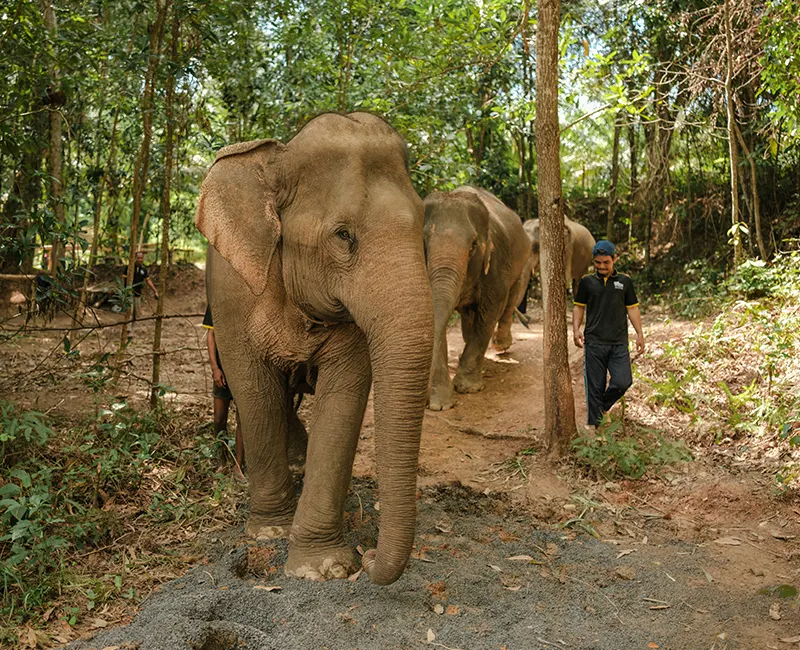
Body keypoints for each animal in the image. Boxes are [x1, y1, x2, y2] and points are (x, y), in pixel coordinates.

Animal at [195, 112, 434, 585]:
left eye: (421, 228)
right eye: (343, 235)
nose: (371, 555)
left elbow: (344, 394)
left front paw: (325, 568)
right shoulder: (231, 292)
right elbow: (252, 386)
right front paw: (270, 532)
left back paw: (299, 465)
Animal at [424, 186, 533, 411]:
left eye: (473, 245)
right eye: (424, 242)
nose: (429, 400)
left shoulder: (497, 263)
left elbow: (490, 312)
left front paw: (467, 388)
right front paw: (441, 404)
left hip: (519, 264)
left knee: (510, 300)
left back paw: (501, 345)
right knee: (468, 315)